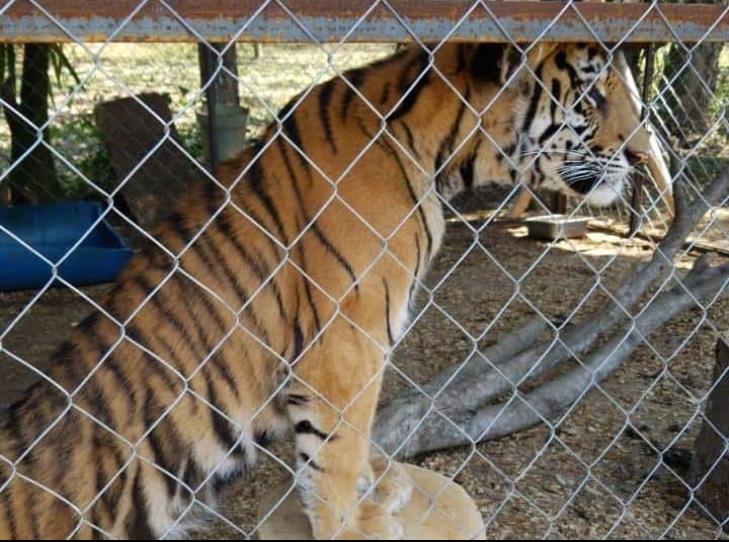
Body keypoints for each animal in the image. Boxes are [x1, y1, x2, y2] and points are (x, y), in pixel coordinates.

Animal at [0, 41, 648, 540]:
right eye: (592, 98)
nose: (643, 158)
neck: (438, 152)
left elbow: (343, 442)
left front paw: (377, 485)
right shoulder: (344, 342)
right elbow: (335, 447)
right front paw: (354, 522)